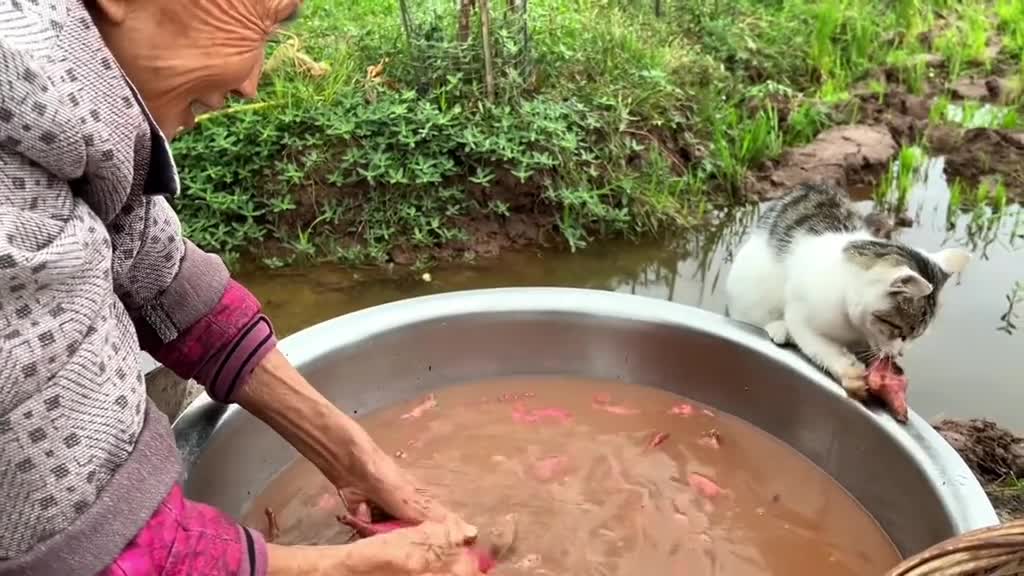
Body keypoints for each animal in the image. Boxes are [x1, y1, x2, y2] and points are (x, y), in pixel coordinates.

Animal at [729, 183, 966, 393]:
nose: (900, 354)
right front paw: (847, 371)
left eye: (916, 337)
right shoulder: (801, 312)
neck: (853, 329)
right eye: (899, 330)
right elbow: (816, 343)